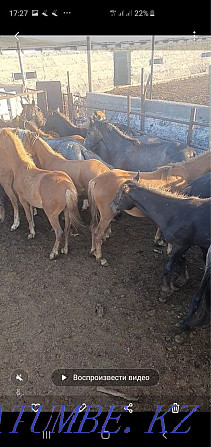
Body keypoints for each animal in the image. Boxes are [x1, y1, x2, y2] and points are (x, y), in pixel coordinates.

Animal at [0, 128, 82, 260]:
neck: (21, 167)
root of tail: (67, 186)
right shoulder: (29, 200)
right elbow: (31, 215)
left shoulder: (22, 198)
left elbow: (28, 216)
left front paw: (31, 233)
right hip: (67, 211)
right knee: (67, 229)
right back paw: (64, 249)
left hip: (52, 215)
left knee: (59, 231)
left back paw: (53, 253)